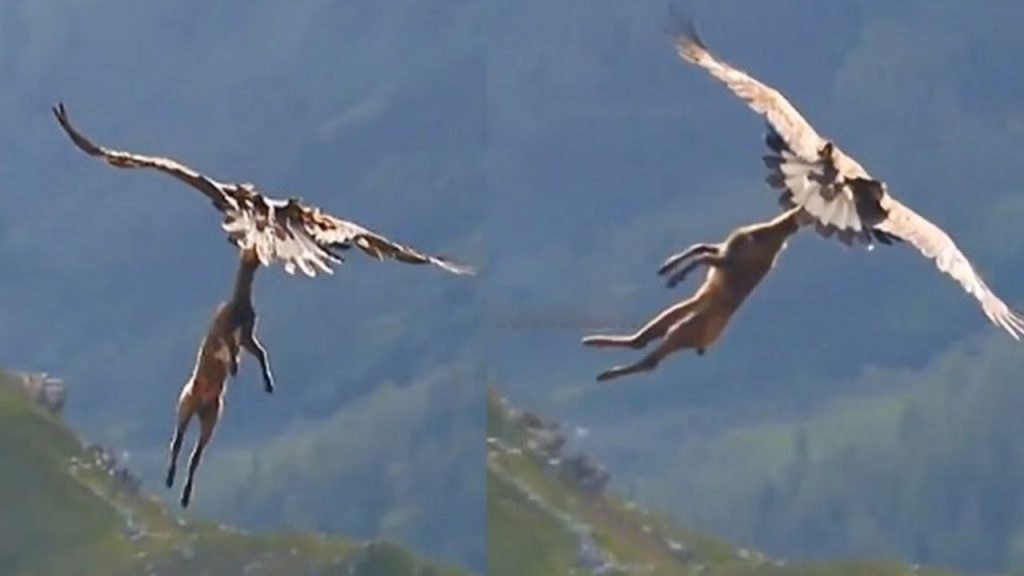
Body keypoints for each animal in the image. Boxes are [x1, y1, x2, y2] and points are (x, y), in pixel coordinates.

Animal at [165, 246, 274, 508]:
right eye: (247, 249)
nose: (260, 256)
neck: (239, 307)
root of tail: (200, 405)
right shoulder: (222, 334)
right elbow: (228, 348)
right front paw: (234, 367)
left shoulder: (247, 335)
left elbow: (260, 353)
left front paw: (268, 383)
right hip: (185, 405)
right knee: (177, 442)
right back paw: (170, 480)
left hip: (212, 418)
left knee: (196, 456)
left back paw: (185, 496)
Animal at [582, 206, 805, 382]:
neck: (770, 232)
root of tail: (705, 344)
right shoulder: (725, 251)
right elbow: (700, 248)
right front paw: (668, 268)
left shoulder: (730, 260)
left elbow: (703, 255)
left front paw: (675, 276)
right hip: (684, 316)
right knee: (643, 340)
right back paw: (594, 344)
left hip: (686, 328)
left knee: (650, 360)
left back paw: (605, 372)